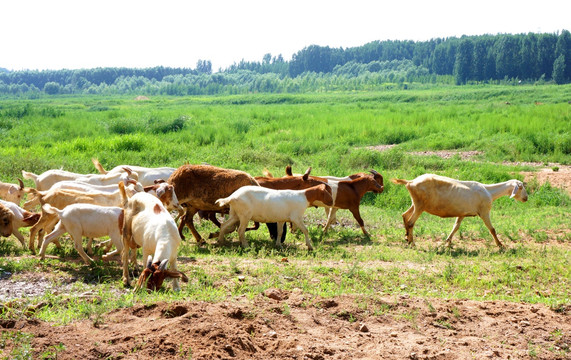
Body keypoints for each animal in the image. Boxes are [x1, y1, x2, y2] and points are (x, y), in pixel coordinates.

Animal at [394, 174, 528, 248]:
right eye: (521, 187)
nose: (526, 198)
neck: (489, 192)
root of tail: (410, 182)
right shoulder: (484, 212)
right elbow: (492, 229)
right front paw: (500, 245)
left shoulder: (462, 213)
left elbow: (456, 227)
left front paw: (447, 242)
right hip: (420, 206)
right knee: (411, 222)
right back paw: (412, 243)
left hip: (415, 203)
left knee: (405, 216)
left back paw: (406, 238)